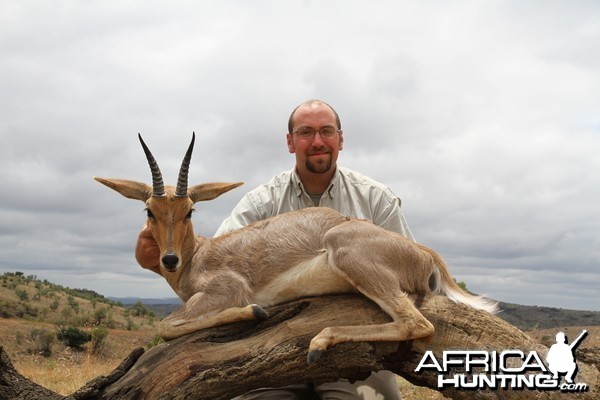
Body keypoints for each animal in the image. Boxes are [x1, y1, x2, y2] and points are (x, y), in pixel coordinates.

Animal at [95, 133, 496, 364]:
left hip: (352, 258)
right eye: (150, 210)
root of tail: (425, 252)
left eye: (189, 210)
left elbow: (167, 325)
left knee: (416, 323)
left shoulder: (228, 289)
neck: (199, 256)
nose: (169, 259)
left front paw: (254, 312)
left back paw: (318, 342)